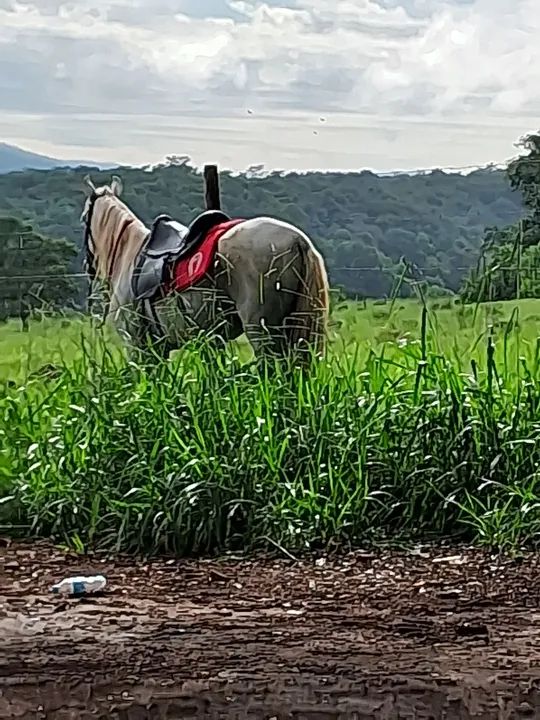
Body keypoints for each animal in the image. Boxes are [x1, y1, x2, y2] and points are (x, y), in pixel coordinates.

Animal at [81, 174, 330, 366]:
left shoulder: (137, 345)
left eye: (84, 218)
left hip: (263, 333)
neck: (129, 254)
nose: (88, 266)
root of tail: (298, 240)